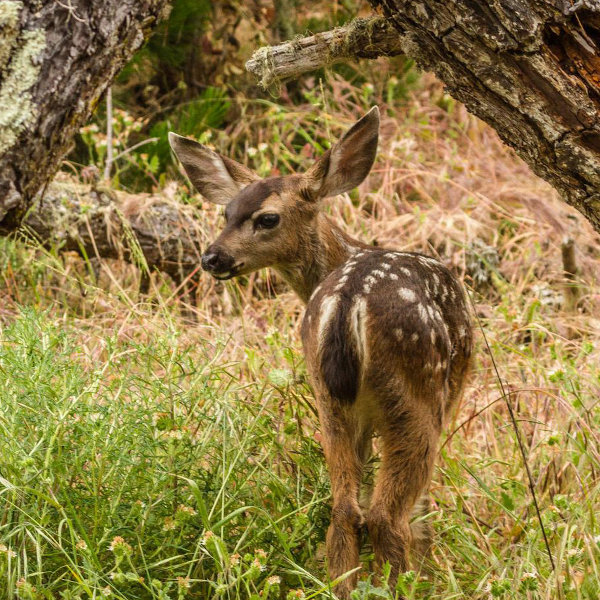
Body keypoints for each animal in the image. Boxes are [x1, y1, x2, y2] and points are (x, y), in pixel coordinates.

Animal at [169, 106, 474, 596]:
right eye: (227, 212)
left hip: (328, 397)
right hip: (418, 390)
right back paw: (402, 582)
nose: (212, 257)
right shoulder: (452, 392)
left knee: (345, 508)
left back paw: (342, 584)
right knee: (385, 514)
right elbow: (421, 507)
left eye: (265, 218)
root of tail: (349, 302)